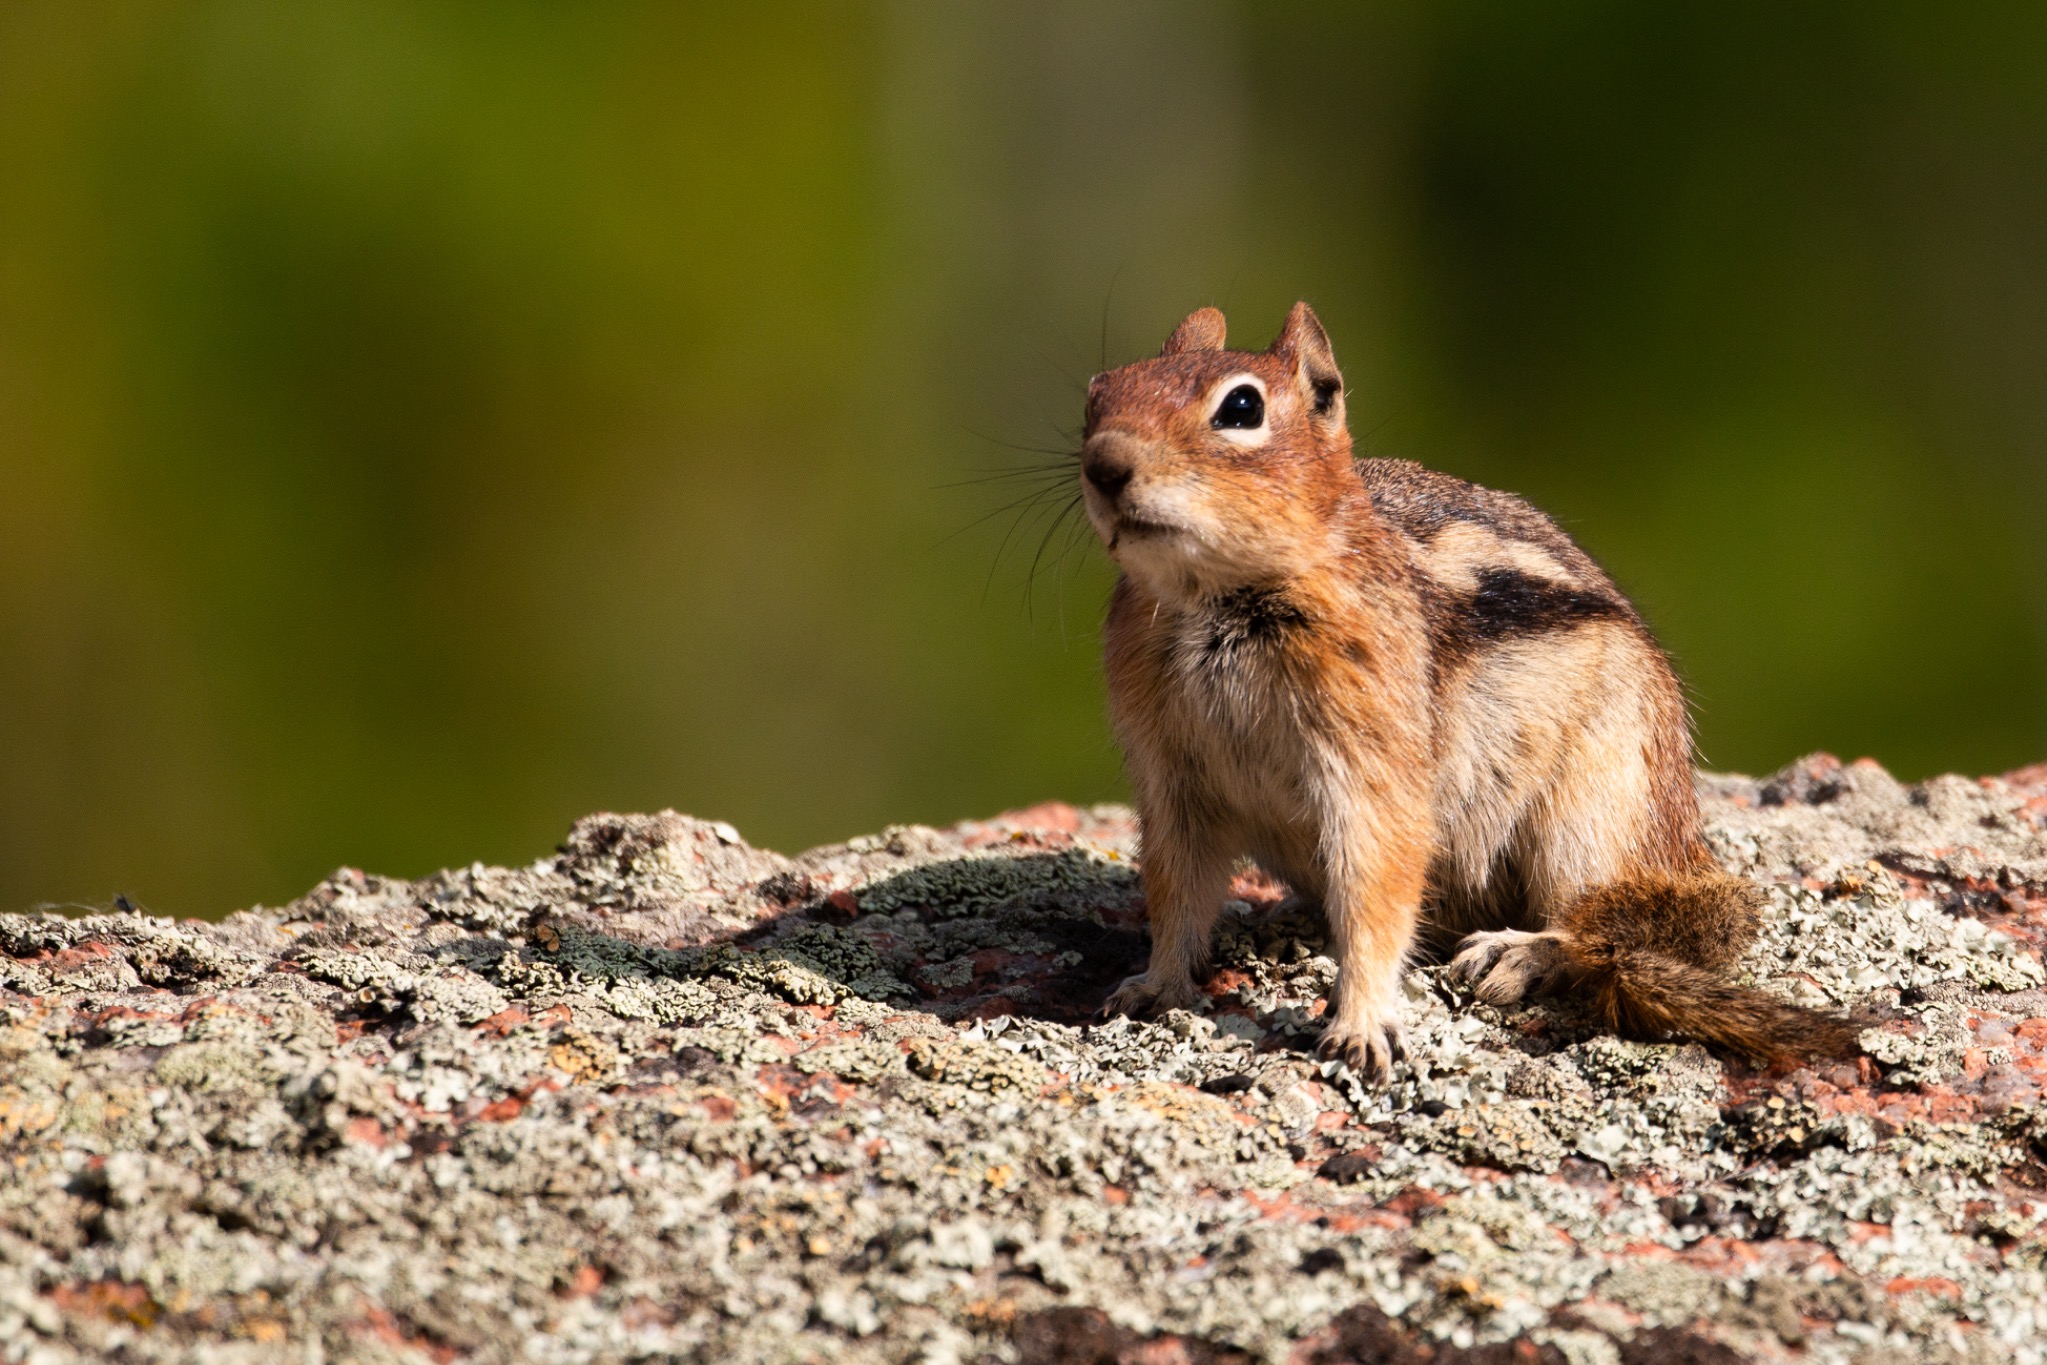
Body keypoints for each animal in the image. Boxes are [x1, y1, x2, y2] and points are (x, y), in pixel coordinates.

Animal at [1082, 302, 1860, 1080]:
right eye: (1098, 391)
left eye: (1241, 408)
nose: (1102, 466)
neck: (1211, 603)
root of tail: (1684, 849)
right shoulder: (1170, 776)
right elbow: (1175, 891)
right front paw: (1155, 985)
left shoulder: (1371, 761)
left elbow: (1378, 881)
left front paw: (1361, 1025)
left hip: (1596, 810)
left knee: (1594, 930)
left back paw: (1514, 953)